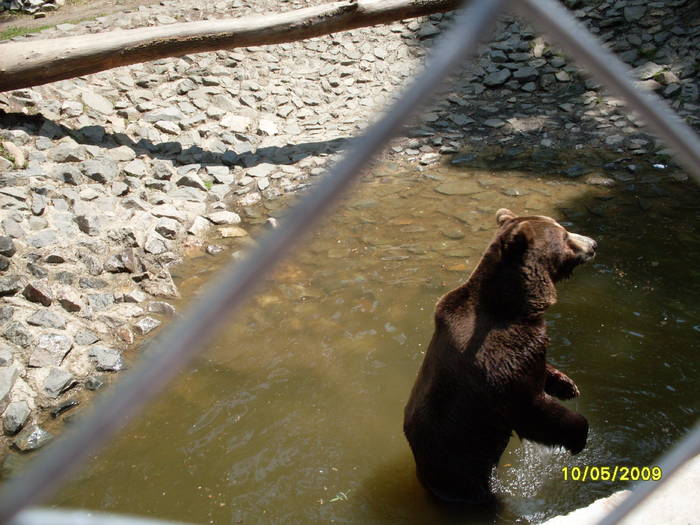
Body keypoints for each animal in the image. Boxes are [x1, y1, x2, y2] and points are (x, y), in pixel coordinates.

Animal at [404, 209, 596, 504]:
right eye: (565, 235)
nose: (593, 244)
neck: (515, 307)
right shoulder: (498, 363)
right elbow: (532, 409)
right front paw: (578, 434)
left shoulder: (527, 347)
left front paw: (567, 385)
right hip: (461, 465)